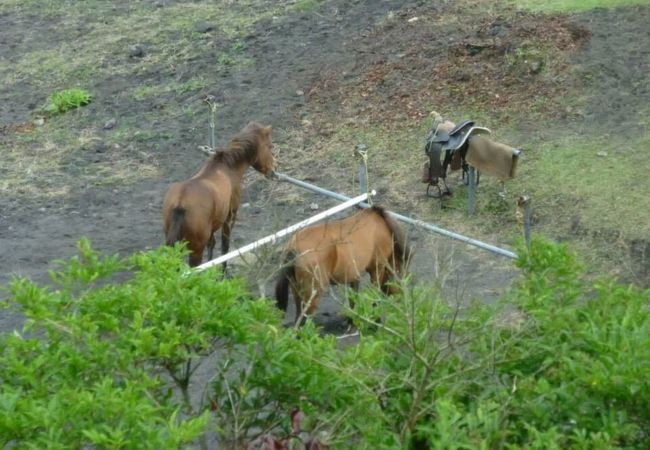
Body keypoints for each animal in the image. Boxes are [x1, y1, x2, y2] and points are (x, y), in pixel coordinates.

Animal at [163, 120, 274, 268]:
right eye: (270, 146)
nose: (272, 171)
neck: (226, 168)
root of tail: (180, 203)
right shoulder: (229, 218)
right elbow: (224, 248)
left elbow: (212, 245)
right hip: (195, 250)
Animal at [274, 206, 410, 326]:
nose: (401, 301)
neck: (382, 227)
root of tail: (293, 247)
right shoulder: (377, 269)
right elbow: (374, 295)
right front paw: (374, 319)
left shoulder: (354, 275)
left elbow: (353, 298)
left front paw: (353, 320)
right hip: (312, 296)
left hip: (297, 291)